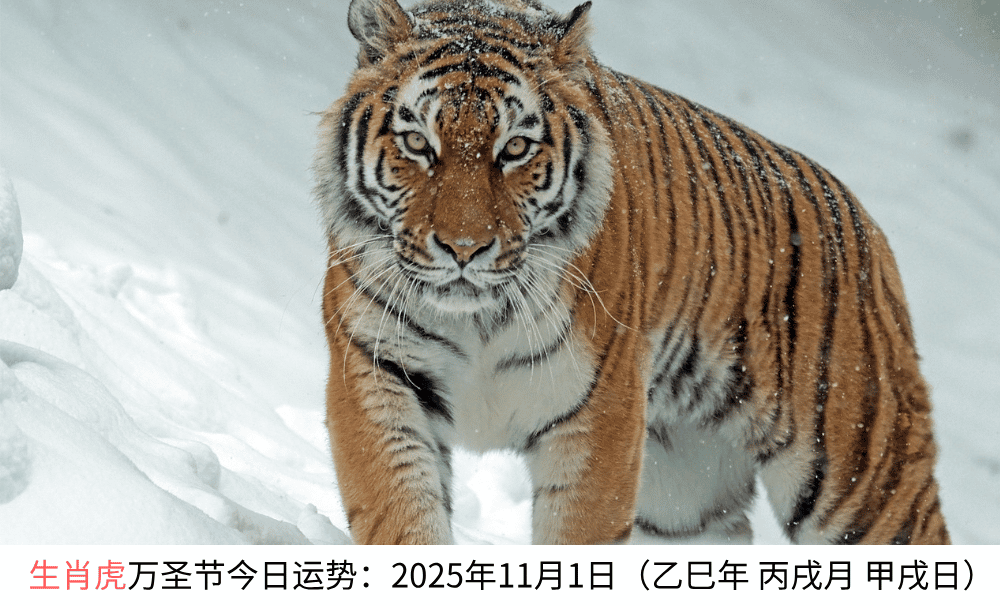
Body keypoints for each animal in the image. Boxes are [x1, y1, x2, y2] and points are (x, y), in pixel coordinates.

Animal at [313, 0, 950, 545]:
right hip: (684, 498)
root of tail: (865, 225)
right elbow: (402, 517)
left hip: (861, 478)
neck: (477, 320)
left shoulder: (600, 415)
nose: (464, 248)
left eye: (515, 148)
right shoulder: (377, 374)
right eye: (417, 142)